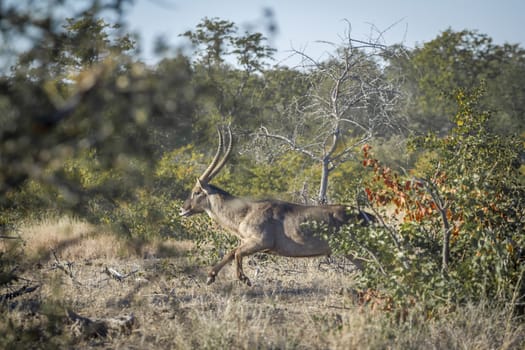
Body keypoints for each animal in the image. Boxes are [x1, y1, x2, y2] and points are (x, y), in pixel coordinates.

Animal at [180, 127, 372, 286]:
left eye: (197, 191)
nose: (183, 209)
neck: (246, 211)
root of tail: (366, 215)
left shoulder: (260, 242)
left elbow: (236, 252)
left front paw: (244, 279)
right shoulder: (249, 242)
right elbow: (231, 252)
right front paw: (211, 276)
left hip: (354, 251)